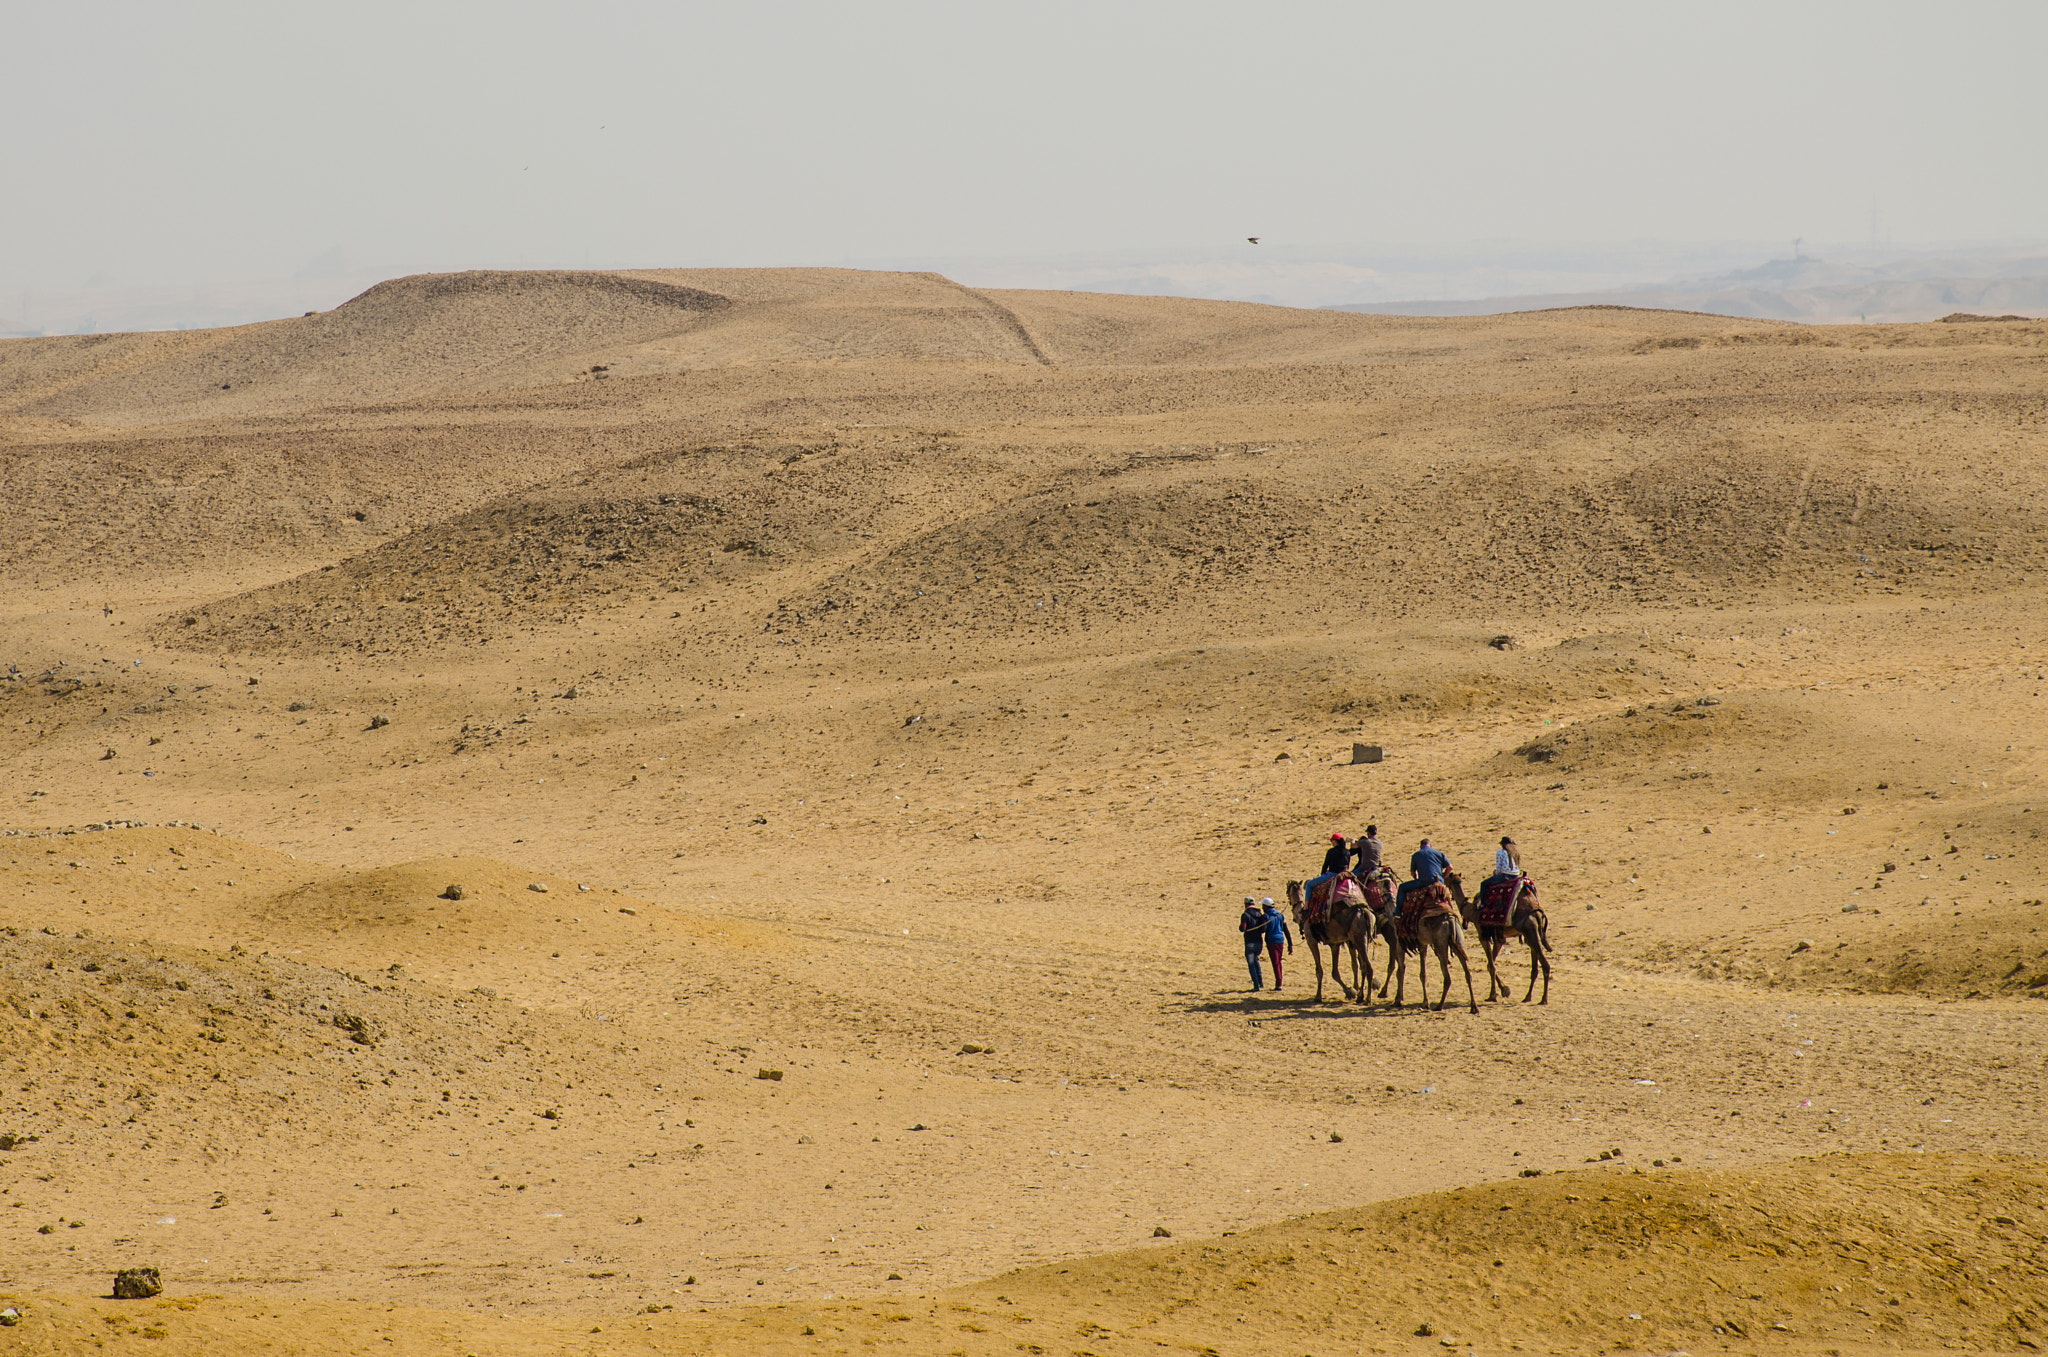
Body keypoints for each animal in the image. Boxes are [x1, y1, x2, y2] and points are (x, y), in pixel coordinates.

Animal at [1384, 876, 1482, 1015]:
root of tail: (1450, 920)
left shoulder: (1399, 943)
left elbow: (1401, 970)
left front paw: (1398, 1000)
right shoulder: (1423, 944)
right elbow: (1423, 973)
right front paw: (1425, 1003)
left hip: (1441, 945)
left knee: (1447, 976)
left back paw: (1440, 1005)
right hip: (1458, 942)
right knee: (1468, 973)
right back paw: (1474, 1007)